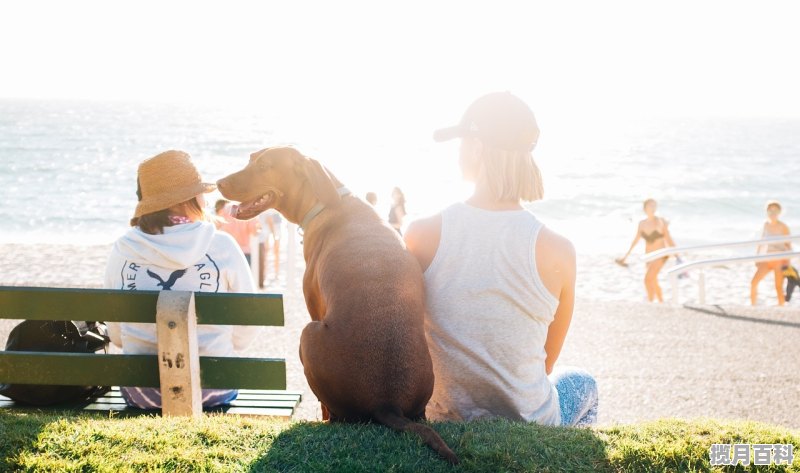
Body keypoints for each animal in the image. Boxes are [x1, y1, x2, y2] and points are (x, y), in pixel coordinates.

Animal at [217, 146, 456, 462]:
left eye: (265, 166)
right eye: (250, 160)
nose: (218, 183)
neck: (327, 201)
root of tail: (387, 403)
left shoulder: (314, 307)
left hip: (308, 334)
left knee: (332, 411)